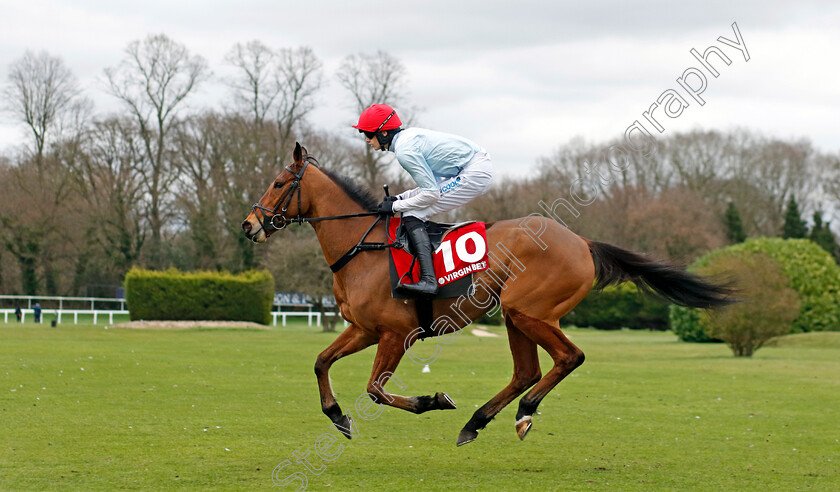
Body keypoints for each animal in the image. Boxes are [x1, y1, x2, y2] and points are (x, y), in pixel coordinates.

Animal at [241, 143, 728, 446]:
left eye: (280, 184)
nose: (249, 225)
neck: (364, 247)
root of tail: (582, 241)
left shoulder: (396, 333)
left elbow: (376, 389)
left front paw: (431, 400)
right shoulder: (363, 329)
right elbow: (321, 361)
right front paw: (338, 415)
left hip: (528, 310)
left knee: (568, 358)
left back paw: (523, 413)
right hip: (517, 315)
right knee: (527, 371)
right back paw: (477, 422)